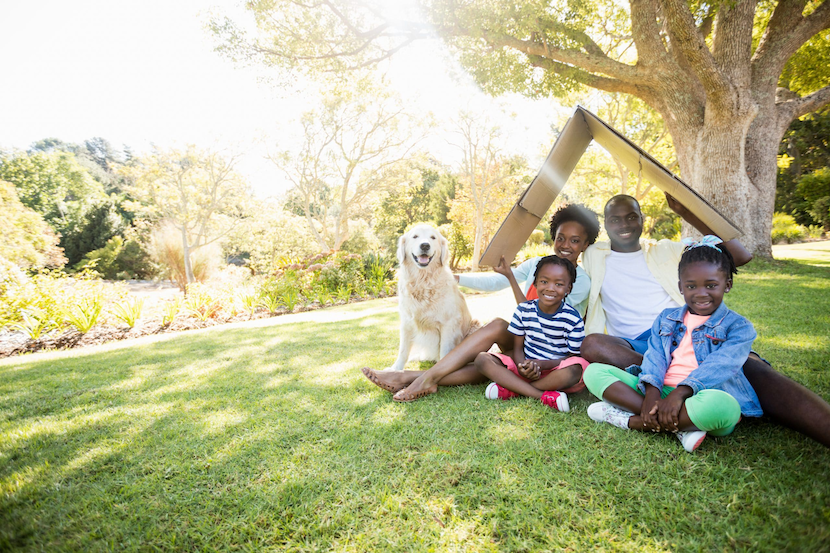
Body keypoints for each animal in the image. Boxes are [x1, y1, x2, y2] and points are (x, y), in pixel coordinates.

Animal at [390, 223, 474, 370]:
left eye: (433, 237)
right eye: (415, 236)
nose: (425, 245)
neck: (423, 282)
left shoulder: (448, 323)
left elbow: (445, 352)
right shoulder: (406, 322)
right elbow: (403, 350)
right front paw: (396, 369)